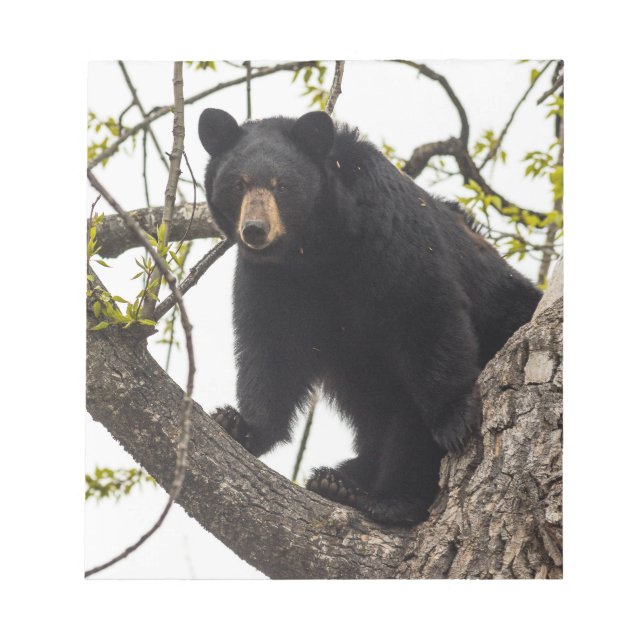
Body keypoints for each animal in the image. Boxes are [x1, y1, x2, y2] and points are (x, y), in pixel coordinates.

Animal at [198, 108, 542, 526]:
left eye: (282, 186)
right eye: (239, 184)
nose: (255, 230)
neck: (316, 247)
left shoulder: (390, 235)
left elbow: (425, 313)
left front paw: (455, 418)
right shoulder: (273, 279)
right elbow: (271, 347)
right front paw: (241, 424)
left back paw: (385, 497)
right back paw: (339, 479)